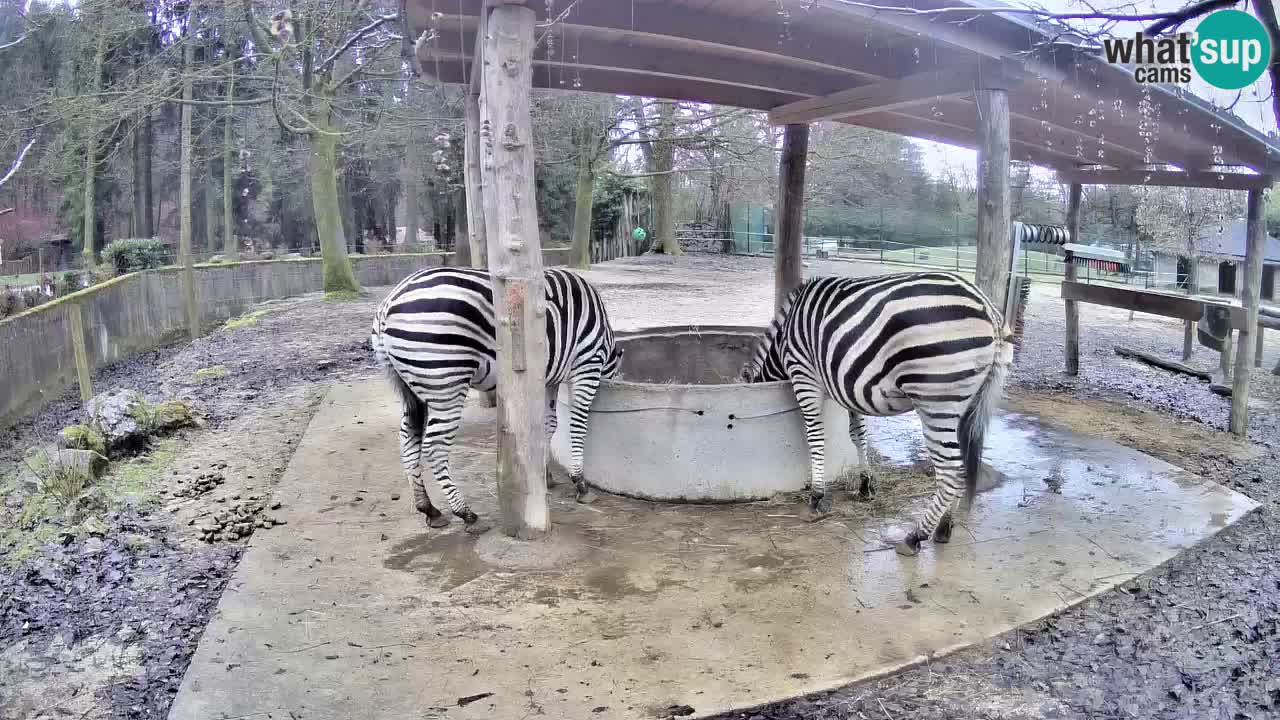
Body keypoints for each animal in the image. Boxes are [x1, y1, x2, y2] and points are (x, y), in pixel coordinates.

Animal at [368, 266, 622, 530]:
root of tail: (387, 304)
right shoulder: (587, 363)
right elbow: (577, 425)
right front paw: (580, 482)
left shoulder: (548, 378)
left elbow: (548, 424)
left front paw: (545, 475)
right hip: (445, 381)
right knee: (434, 446)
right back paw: (465, 512)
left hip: (411, 389)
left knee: (407, 440)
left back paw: (429, 509)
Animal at [747, 269, 1013, 556]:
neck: (784, 340)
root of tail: (988, 309)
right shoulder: (846, 386)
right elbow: (858, 435)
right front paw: (866, 486)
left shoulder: (804, 373)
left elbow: (815, 437)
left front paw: (817, 496)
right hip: (967, 405)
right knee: (961, 467)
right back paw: (945, 526)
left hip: (937, 400)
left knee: (950, 470)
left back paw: (915, 536)